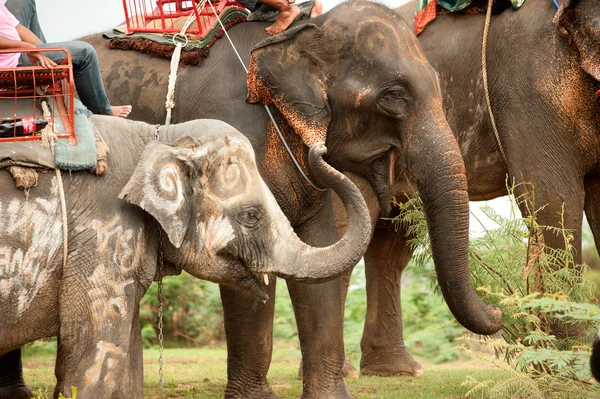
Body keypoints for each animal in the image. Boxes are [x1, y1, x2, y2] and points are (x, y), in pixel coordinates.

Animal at [344, 0, 600, 378]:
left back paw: (394, 371)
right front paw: (564, 371)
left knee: (392, 243)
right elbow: (553, 199)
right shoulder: (526, 86)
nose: (497, 310)